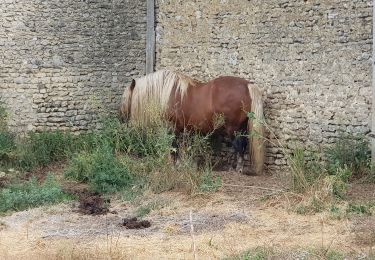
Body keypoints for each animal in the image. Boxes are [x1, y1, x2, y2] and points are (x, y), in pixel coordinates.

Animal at [119, 69, 264, 175]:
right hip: (242, 128)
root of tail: (247, 85)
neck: (169, 94)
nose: (121, 119)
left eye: (126, 98)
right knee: (243, 145)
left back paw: (237, 168)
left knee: (238, 146)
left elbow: (174, 147)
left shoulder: (173, 128)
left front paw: (176, 166)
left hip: (233, 129)